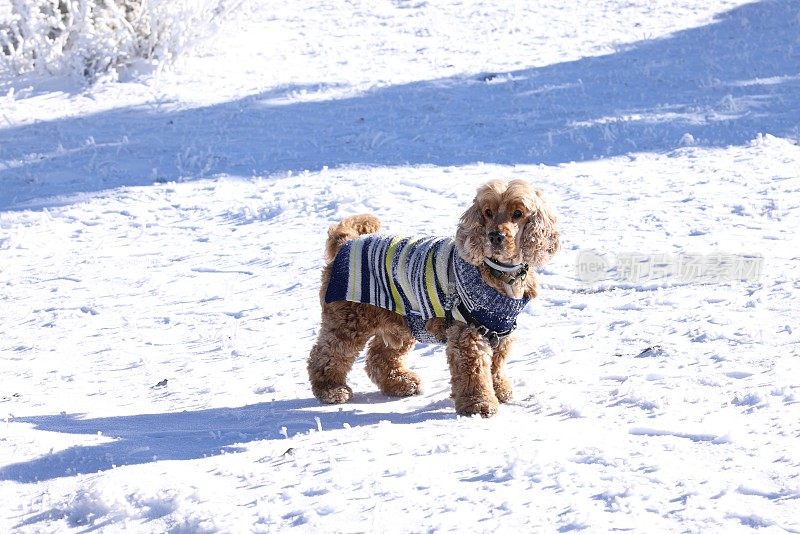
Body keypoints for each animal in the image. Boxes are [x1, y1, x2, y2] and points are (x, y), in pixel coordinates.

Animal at [308, 180, 564, 418]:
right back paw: (330, 389)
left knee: (379, 357)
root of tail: (346, 242)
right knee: (326, 354)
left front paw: (500, 390)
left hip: (401, 320)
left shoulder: (499, 329)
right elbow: (474, 371)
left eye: (518, 213)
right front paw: (479, 404)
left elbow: (496, 365)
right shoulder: (468, 333)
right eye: (488, 212)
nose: (495, 236)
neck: (499, 273)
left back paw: (400, 383)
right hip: (349, 320)